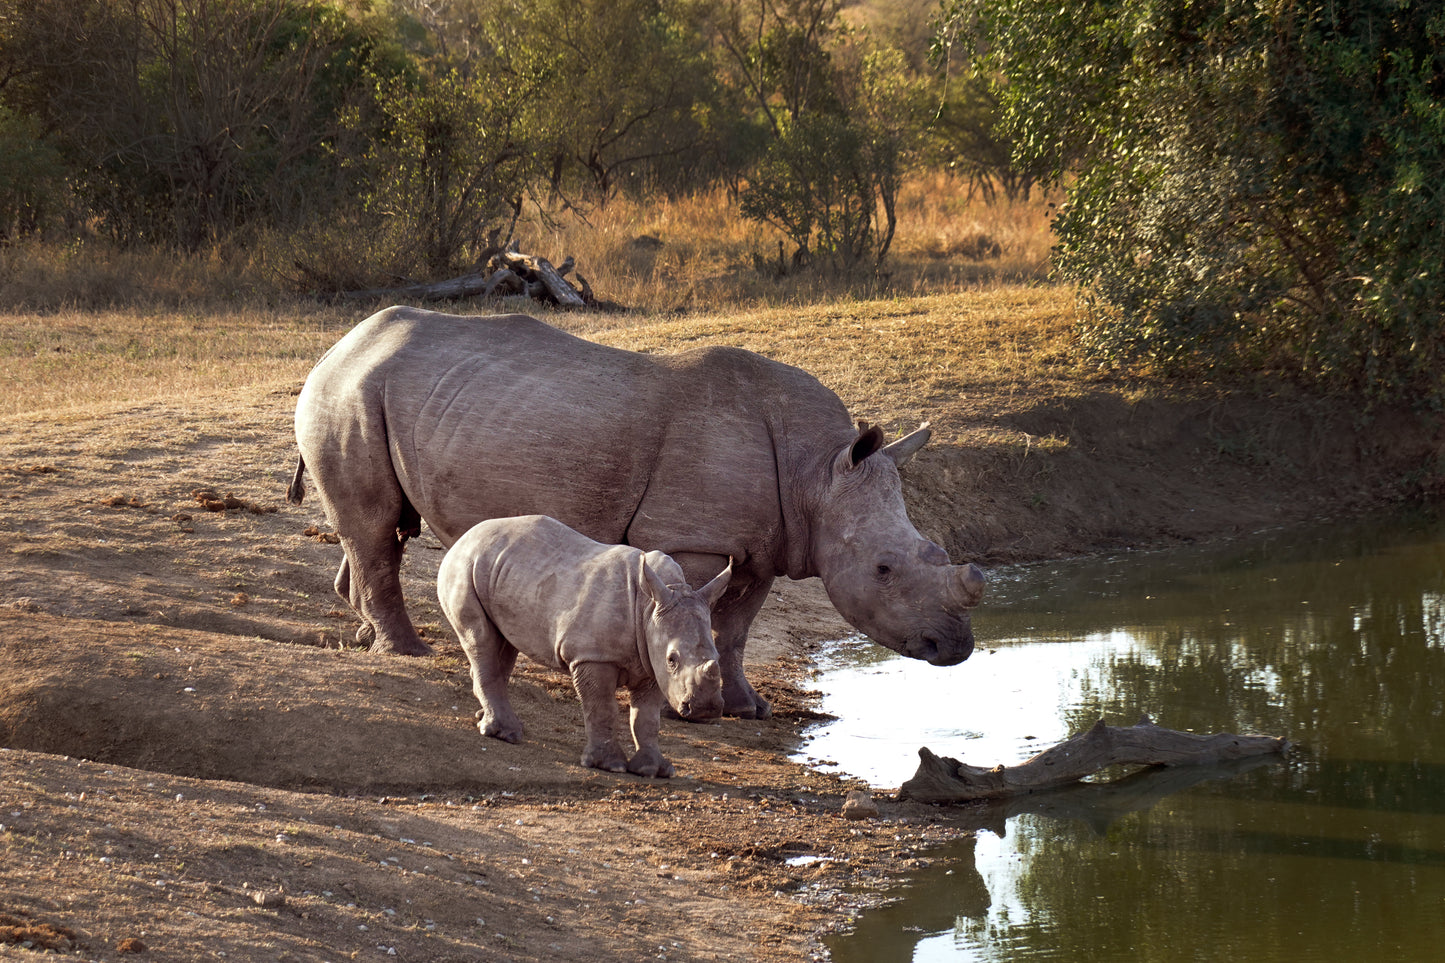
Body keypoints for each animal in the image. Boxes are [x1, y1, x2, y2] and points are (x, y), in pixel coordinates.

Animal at [439, 514, 734, 775]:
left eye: (717, 657)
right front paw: (609, 765)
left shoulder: (653, 664)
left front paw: (654, 770)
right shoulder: (592, 655)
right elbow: (602, 708)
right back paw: (506, 734)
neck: (650, 607)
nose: (705, 709)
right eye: (672, 658)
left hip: (502, 571)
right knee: (480, 640)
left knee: (504, 643)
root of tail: (467, 536)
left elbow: (647, 718)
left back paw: (484, 717)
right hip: (463, 567)